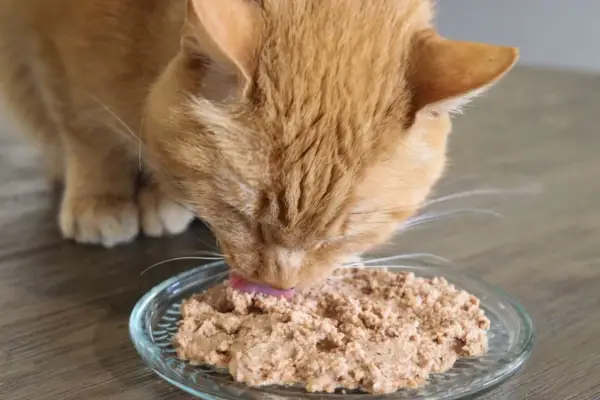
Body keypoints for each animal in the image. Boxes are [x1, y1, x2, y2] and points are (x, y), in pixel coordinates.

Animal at [0, 0, 516, 288]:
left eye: (338, 236)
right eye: (239, 215)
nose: (278, 283)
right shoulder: (52, 41)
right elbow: (85, 133)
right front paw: (103, 198)